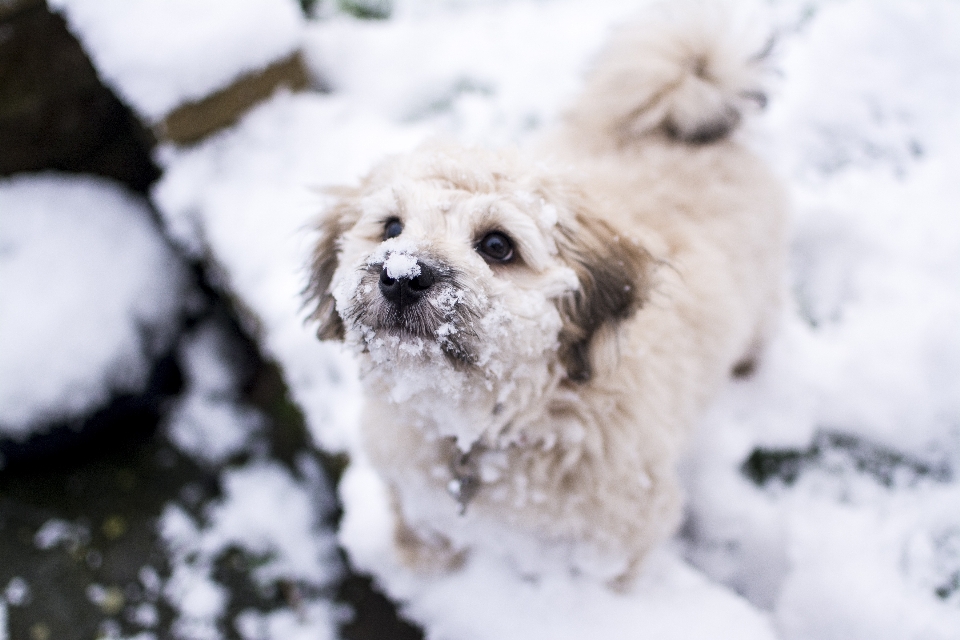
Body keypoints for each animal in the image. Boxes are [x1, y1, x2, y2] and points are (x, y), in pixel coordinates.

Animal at [308, 2, 788, 588]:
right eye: (391, 228)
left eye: (498, 245)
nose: (401, 276)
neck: (487, 428)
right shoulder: (409, 479)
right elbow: (420, 525)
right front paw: (424, 564)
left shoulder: (625, 535)